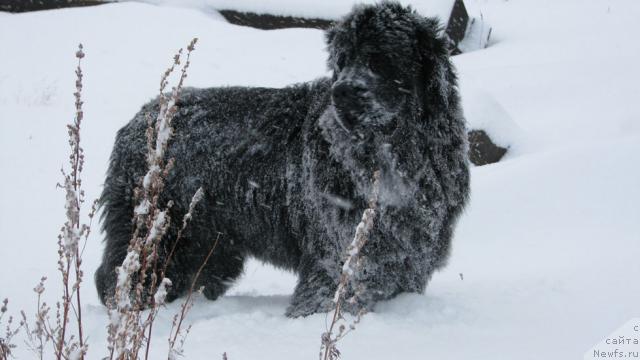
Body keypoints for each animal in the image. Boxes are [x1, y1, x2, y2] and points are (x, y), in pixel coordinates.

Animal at [96, 2, 470, 318]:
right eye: (342, 62)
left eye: (378, 60)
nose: (342, 91)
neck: (396, 154)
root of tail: (142, 116)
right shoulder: (338, 254)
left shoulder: (409, 251)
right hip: (160, 226)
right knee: (121, 271)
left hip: (212, 244)